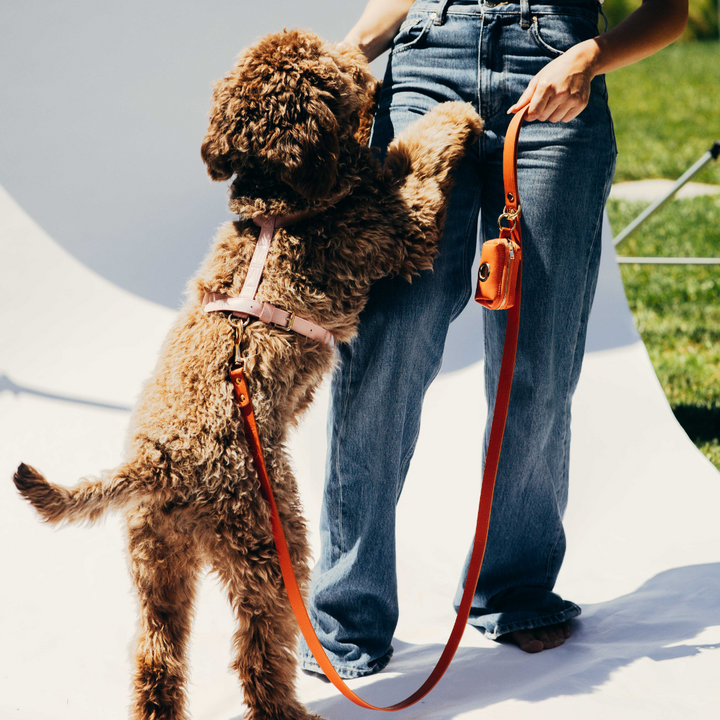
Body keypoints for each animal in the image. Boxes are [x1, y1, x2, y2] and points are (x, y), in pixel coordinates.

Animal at [11, 25, 480, 720]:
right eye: (330, 67)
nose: (363, 55)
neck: (276, 207)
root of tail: (159, 463)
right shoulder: (397, 229)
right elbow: (415, 161)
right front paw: (458, 114)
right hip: (267, 540)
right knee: (260, 649)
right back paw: (286, 707)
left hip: (157, 558)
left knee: (156, 656)